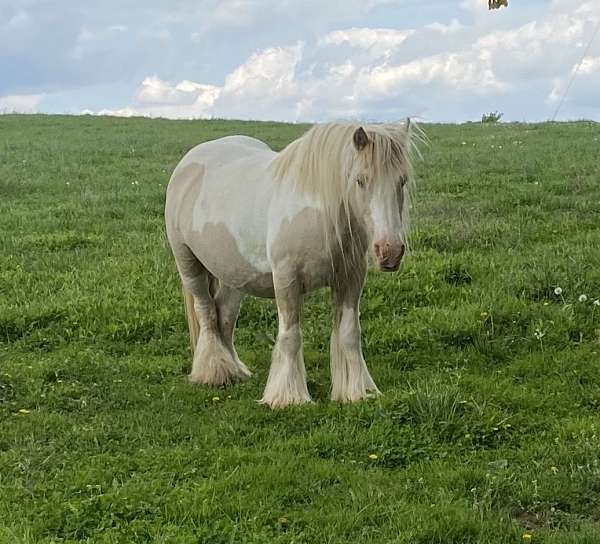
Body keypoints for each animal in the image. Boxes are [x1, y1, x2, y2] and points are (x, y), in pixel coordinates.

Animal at [164, 120, 418, 408]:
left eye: (402, 181)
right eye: (360, 180)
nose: (390, 251)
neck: (318, 211)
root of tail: (189, 161)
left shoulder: (351, 278)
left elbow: (350, 332)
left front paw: (357, 391)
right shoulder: (287, 279)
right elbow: (291, 335)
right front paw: (288, 397)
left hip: (233, 274)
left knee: (225, 315)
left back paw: (233, 371)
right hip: (189, 265)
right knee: (206, 311)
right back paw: (213, 372)